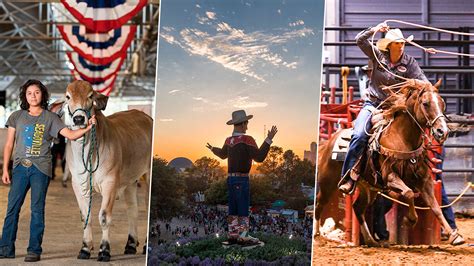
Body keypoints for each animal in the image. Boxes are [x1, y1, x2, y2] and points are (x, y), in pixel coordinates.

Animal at [314, 80, 462, 246]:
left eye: (442, 103)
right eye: (425, 103)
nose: (443, 131)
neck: (403, 137)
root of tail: (328, 143)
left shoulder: (424, 180)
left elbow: (435, 206)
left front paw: (454, 235)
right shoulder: (390, 176)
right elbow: (409, 193)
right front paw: (410, 219)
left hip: (368, 187)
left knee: (358, 207)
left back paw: (371, 240)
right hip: (328, 183)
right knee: (319, 203)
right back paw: (317, 234)